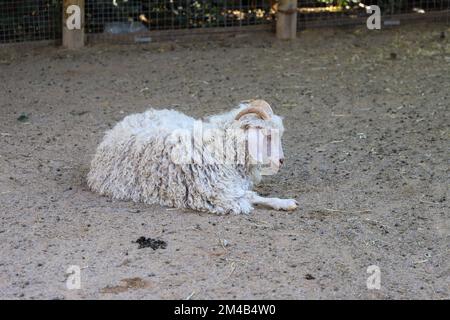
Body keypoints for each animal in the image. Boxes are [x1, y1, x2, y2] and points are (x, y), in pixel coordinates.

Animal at [88, 99, 298, 215]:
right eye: (268, 135)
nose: (282, 161)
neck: (219, 144)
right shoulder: (217, 193)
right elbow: (251, 197)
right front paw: (285, 203)